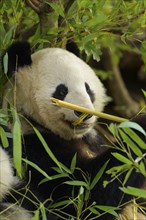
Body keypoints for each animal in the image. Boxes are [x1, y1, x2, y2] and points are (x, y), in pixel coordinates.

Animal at [0, 40, 145, 218]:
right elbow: (83, 196)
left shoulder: (93, 138)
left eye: (87, 88)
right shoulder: (31, 148)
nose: (84, 113)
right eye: (62, 91)